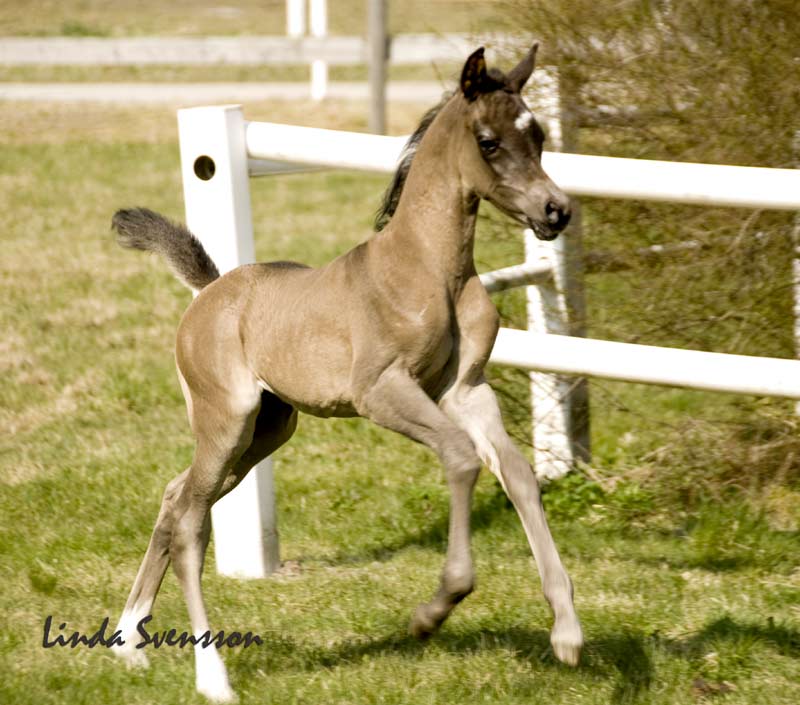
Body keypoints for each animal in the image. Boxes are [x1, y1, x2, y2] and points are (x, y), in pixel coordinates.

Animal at [111, 42, 580, 700]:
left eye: (537, 134)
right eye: (488, 141)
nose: (555, 211)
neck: (429, 266)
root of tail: (208, 291)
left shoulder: (466, 390)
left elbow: (517, 474)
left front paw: (566, 629)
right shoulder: (380, 392)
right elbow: (462, 458)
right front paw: (435, 608)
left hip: (267, 429)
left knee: (178, 496)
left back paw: (129, 641)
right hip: (227, 422)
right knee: (190, 525)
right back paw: (212, 676)